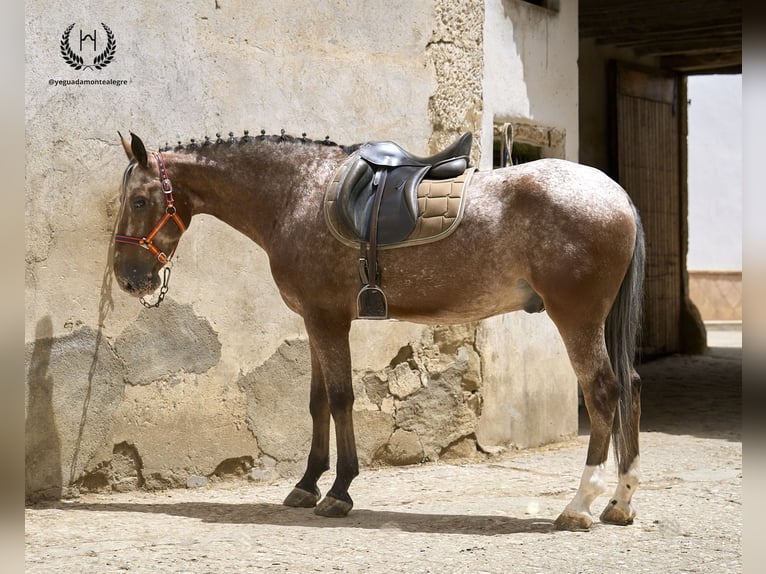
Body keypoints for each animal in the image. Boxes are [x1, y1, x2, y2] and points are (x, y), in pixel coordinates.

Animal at [112, 132, 640, 536]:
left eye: (139, 200)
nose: (127, 278)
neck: (299, 194)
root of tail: (618, 196)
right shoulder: (314, 320)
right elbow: (317, 401)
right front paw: (307, 484)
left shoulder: (328, 319)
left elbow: (342, 398)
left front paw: (339, 491)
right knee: (630, 388)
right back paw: (621, 502)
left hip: (576, 318)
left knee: (602, 392)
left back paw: (579, 506)